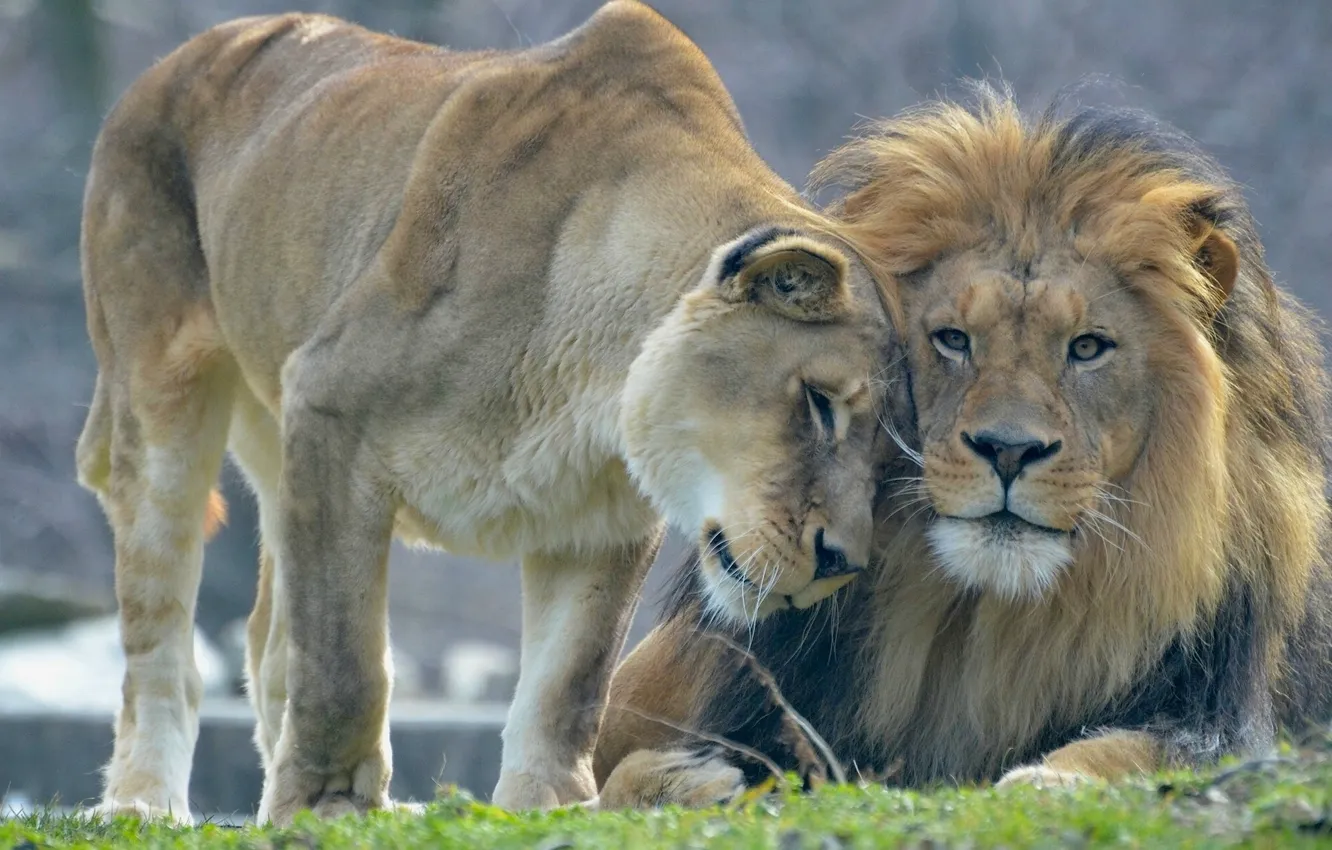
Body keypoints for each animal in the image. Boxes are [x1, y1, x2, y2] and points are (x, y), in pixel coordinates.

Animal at [77, 0, 900, 826]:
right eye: (820, 403)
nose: (843, 562)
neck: (591, 367)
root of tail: (178, 59)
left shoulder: (603, 512)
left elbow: (570, 680)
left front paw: (555, 804)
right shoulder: (330, 408)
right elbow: (344, 662)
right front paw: (329, 805)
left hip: (279, 442)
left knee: (267, 638)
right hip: (161, 402)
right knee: (162, 643)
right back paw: (144, 804)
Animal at [594, 86, 1332, 810]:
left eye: (1087, 347)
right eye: (952, 339)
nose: (1007, 450)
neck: (979, 628)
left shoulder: (1226, 722)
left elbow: (1139, 751)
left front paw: (1051, 781)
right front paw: (684, 782)